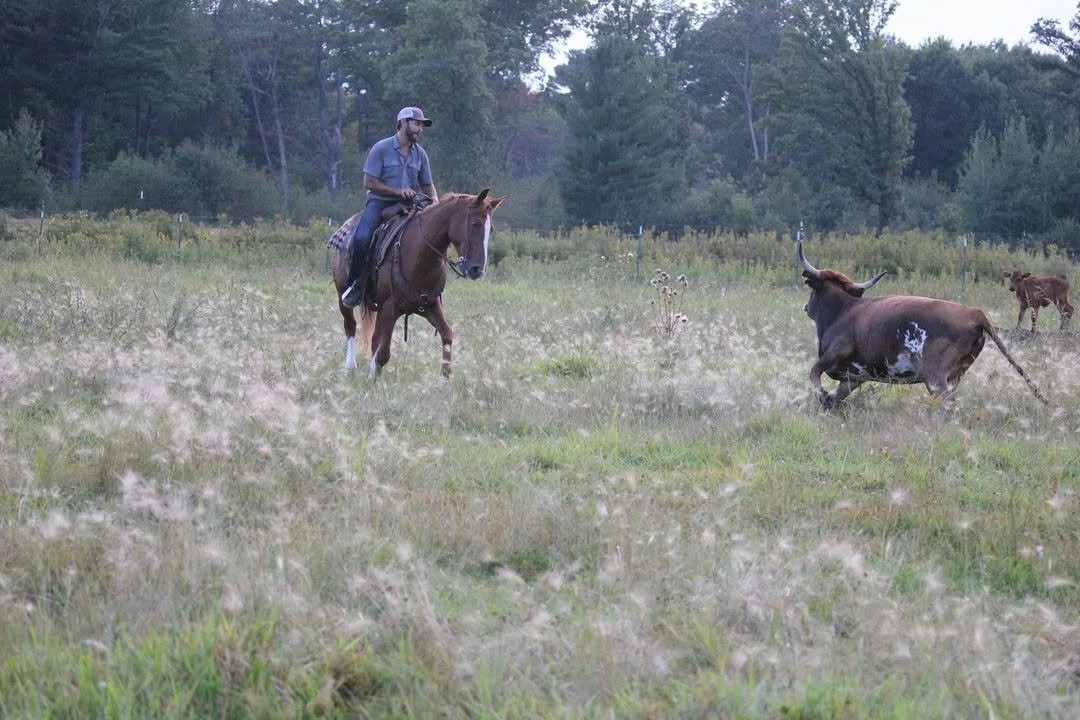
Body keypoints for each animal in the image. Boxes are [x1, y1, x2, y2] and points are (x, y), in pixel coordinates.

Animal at [330, 188, 505, 378]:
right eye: (475, 223)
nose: (477, 269)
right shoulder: (390, 308)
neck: (420, 254)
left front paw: (446, 377)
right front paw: (373, 377)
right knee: (351, 327)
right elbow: (383, 353)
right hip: (343, 298)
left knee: (374, 337)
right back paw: (350, 366)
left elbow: (447, 334)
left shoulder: (430, 305)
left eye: (491, 229)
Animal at [798, 238, 1047, 410]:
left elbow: (814, 374)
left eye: (812, 291)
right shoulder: (854, 377)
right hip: (955, 375)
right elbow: (834, 398)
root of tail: (975, 313)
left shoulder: (835, 353)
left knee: (945, 404)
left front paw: (821, 395)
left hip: (935, 376)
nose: (806, 307)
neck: (843, 310)